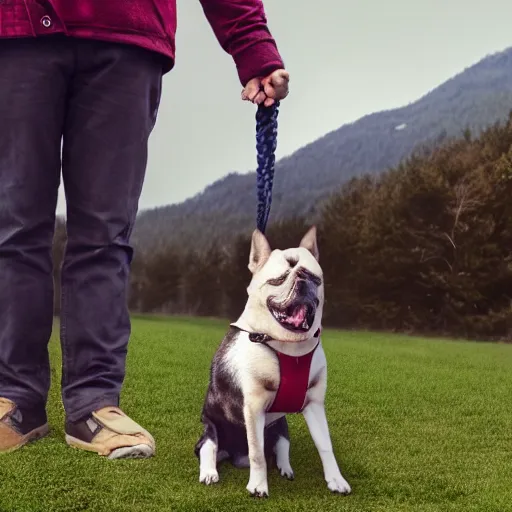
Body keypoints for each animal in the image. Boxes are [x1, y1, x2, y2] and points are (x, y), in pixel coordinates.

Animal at [194, 226, 350, 498]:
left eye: (315, 277)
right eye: (278, 279)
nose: (302, 280)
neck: (291, 346)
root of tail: (235, 457)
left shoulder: (314, 404)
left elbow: (325, 445)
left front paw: (335, 480)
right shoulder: (254, 406)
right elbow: (257, 454)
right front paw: (258, 486)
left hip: (280, 427)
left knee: (280, 447)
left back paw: (285, 468)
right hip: (212, 429)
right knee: (209, 447)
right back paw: (210, 472)